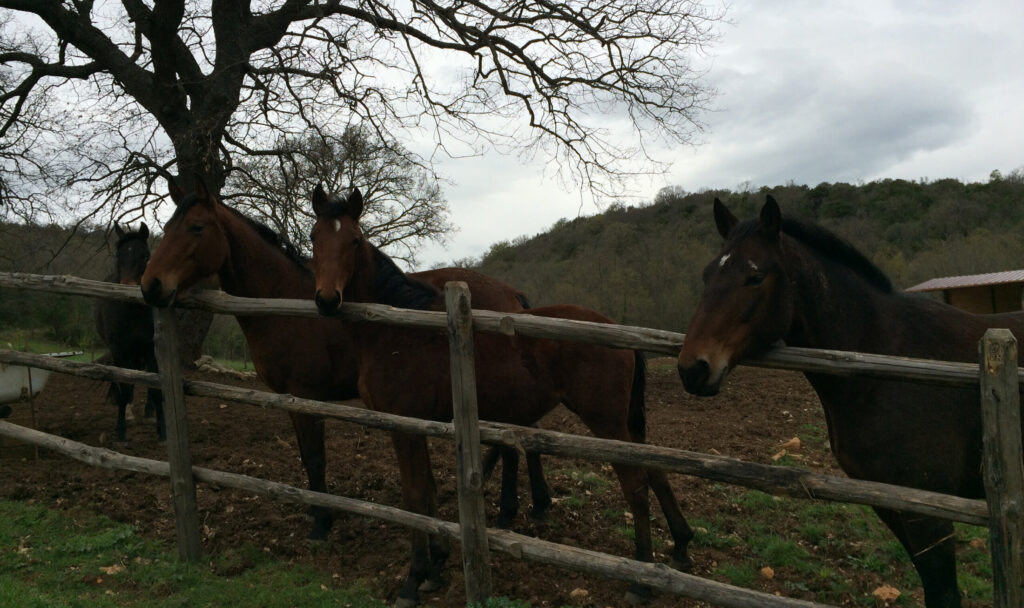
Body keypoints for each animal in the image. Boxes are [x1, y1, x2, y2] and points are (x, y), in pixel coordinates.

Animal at [95, 222, 164, 440]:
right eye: (119, 255)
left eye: (144, 255)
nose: (127, 290)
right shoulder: (119, 350)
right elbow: (124, 387)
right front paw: (121, 431)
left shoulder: (151, 349)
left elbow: (156, 387)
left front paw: (163, 431)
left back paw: (149, 413)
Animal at [140, 177, 548, 536]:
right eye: (167, 225)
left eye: (195, 227)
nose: (151, 286)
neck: (286, 303)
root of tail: (511, 294)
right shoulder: (290, 398)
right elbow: (306, 455)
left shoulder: (305, 396)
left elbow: (314, 456)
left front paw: (322, 522)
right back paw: (530, 508)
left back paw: (515, 512)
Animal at [307, 187, 692, 601]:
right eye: (313, 237)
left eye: (353, 240)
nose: (327, 299)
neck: (395, 332)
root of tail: (615, 328)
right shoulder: (419, 426)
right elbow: (427, 490)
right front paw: (435, 567)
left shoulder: (405, 426)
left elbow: (414, 495)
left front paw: (414, 578)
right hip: (625, 424)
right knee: (655, 470)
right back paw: (681, 547)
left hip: (606, 422)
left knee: (635, 485)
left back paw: (641, 581)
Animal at [675, 195, 1019, 605]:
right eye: (707, 276)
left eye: (755, 276)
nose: (693, 369)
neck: (885, 361)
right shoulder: (892, 502)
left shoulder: (929, 513)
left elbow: (944, 593)